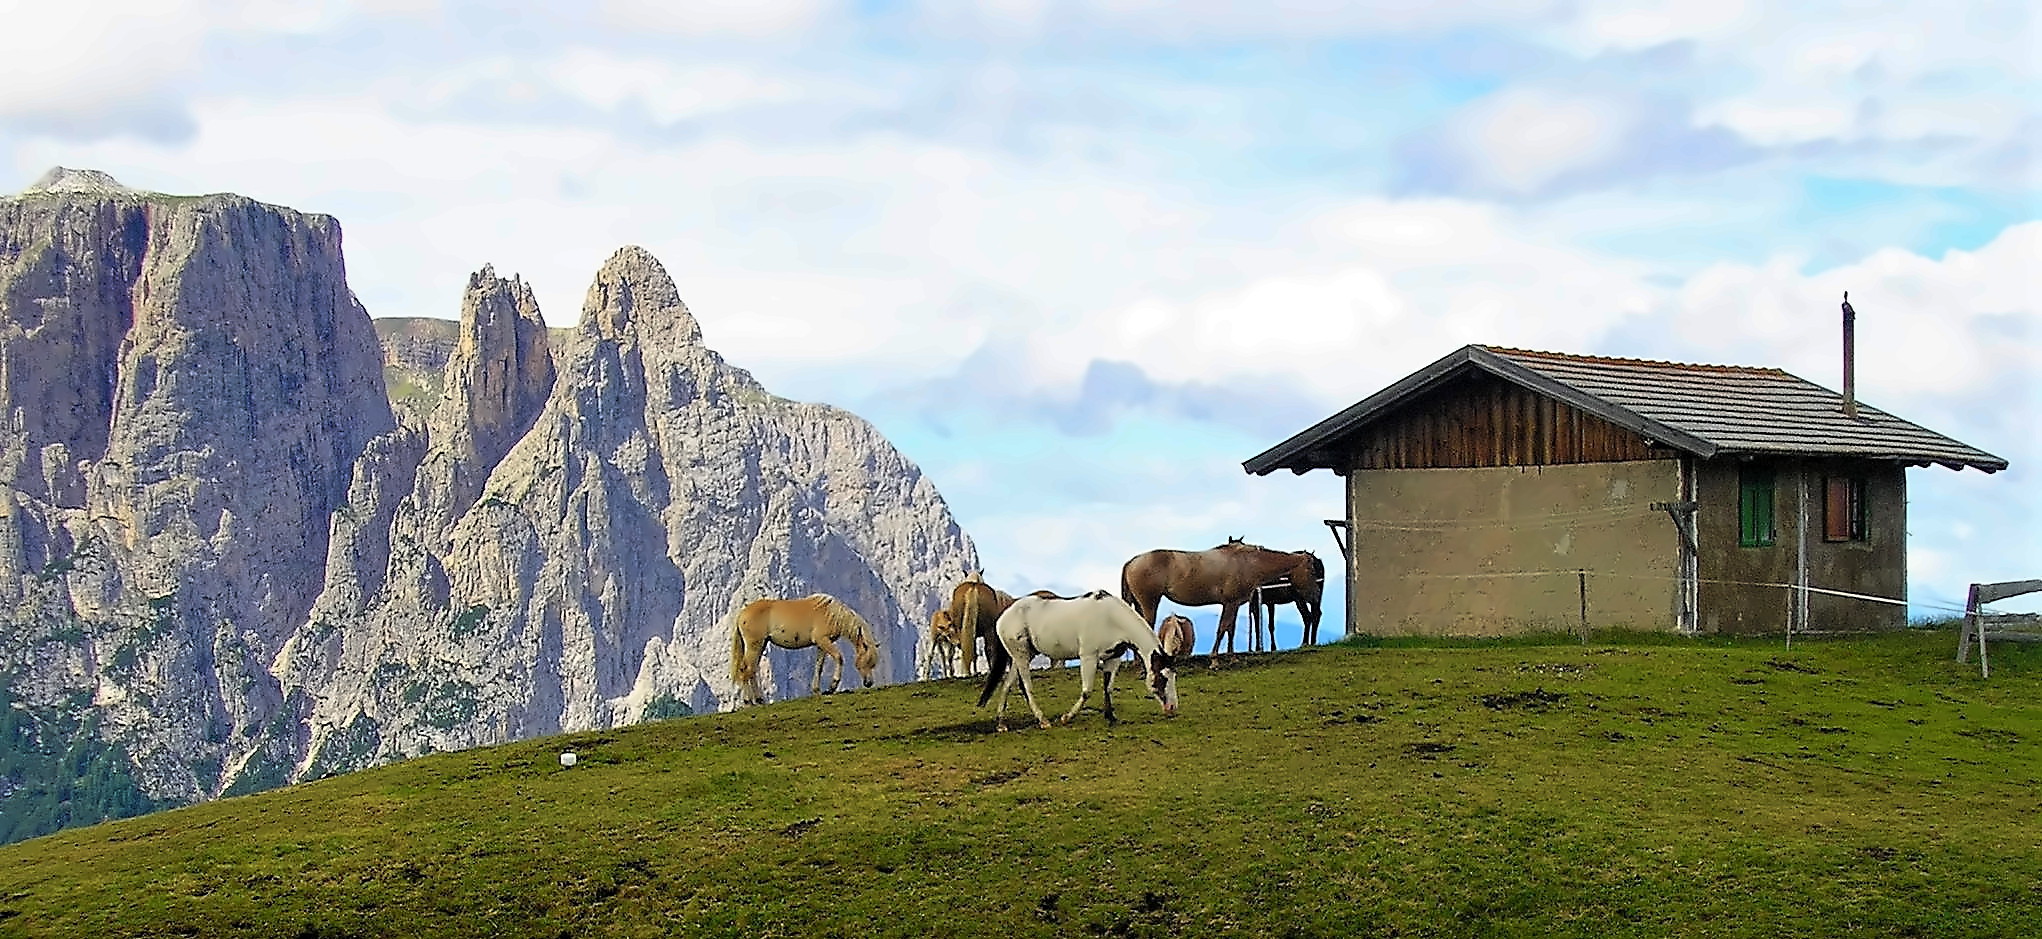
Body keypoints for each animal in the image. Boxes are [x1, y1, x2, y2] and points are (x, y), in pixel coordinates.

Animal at [731, 596, 882, 702]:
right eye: (867, 662)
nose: (869, 683)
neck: (831, 614)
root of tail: (741, 615)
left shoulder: (821, 645)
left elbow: (819, 667)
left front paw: (817, 690)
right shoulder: (823, 641)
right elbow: (839, 657)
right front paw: (831, 687)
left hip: (761, 645)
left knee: (752, 670)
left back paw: (759, 699)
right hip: (754, 645)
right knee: (746, 669)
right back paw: (748, 700)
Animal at [976, 591, 1184, 730]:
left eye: (1173, 675)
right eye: (1163, 677)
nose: (1173, 708)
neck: (1111, 618)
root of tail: (1003, 616)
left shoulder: (1113, 659)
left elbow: (1108, 688)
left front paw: (1111, 717)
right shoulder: (1088, 657)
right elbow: (1086, 691)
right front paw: (1066, 718)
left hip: (1021, 656)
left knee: (1006, 685)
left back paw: (1001, 724)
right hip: (1021, 656)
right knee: (1025, 686)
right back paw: (1043, 721)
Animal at [1119, 538, 1323, 665]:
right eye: (1312, 570)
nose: (1315, 596)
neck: (1248, 562)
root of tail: (1131, 562)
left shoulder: (1233, 604)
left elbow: (1230, 630)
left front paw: (1231, 658)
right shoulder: (1230, 603)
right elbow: (1222, 628)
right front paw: (1214, 660)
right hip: (1149, 603)